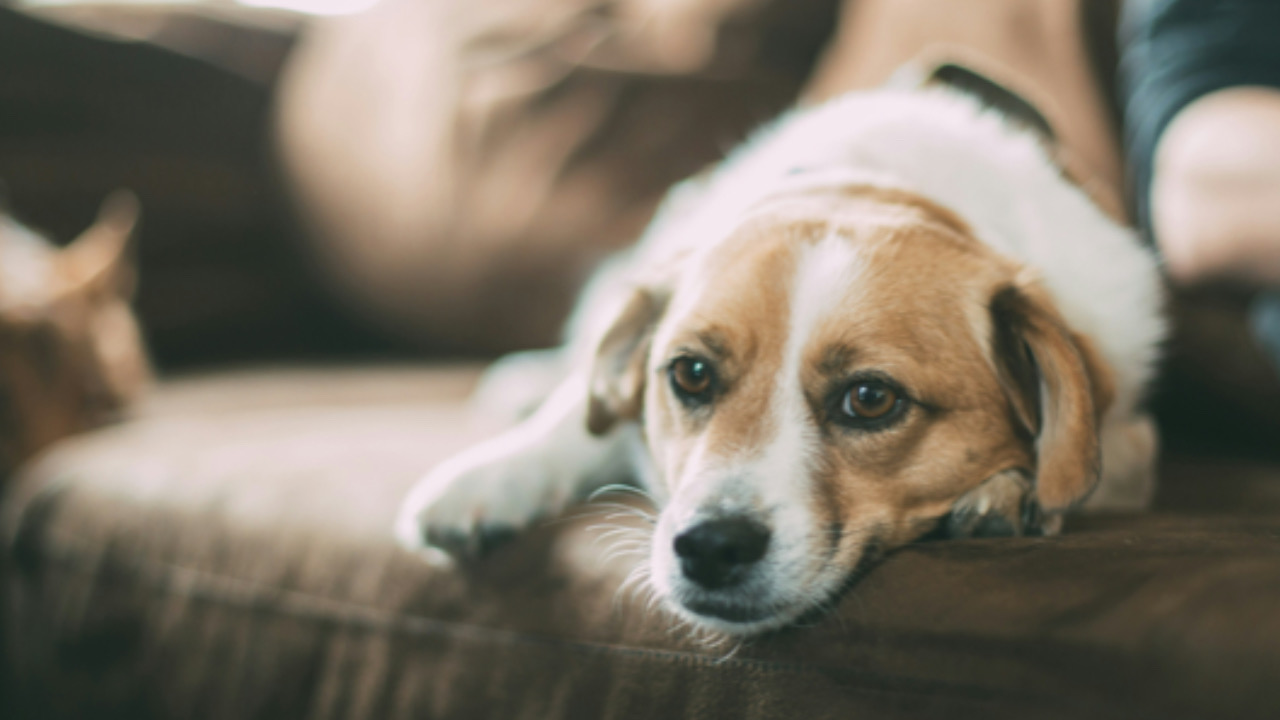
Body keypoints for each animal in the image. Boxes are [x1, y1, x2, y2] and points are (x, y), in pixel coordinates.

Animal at [394, 82, 1167, 632]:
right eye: (690, 373)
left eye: (871, 398)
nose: (710, 547)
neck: (871, 184)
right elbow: (576, 419)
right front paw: (493, 476)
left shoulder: (1129, 433)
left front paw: (1010, 490)